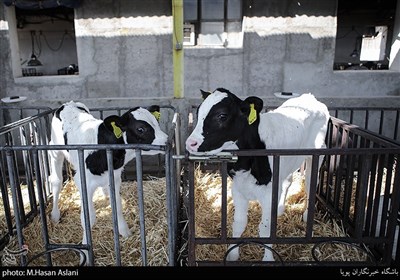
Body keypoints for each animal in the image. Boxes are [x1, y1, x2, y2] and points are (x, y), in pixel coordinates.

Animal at [49, 101, 168, 258]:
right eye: (140, 129)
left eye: (156, 122)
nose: (168, 140)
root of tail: (68, 103)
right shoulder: (83, 182)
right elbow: (88, 218)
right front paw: (85, 252)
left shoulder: (115, 177)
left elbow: (117, 205)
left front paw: (125, 232)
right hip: (55, 150)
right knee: (56, 181)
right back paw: (55, 215)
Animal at [186, 88, 330, 262]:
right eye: (199, 112)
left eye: (222, 116)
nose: (190, 143)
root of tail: (310, 97)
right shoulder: (238, 189)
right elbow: (239, 223)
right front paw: (232, 255)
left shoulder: (269, 194)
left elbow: (266, 230)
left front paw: (268, 258)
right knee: (288, 180)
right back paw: (280, 209)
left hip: (317, 153)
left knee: (310, 183)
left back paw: (307, 216)